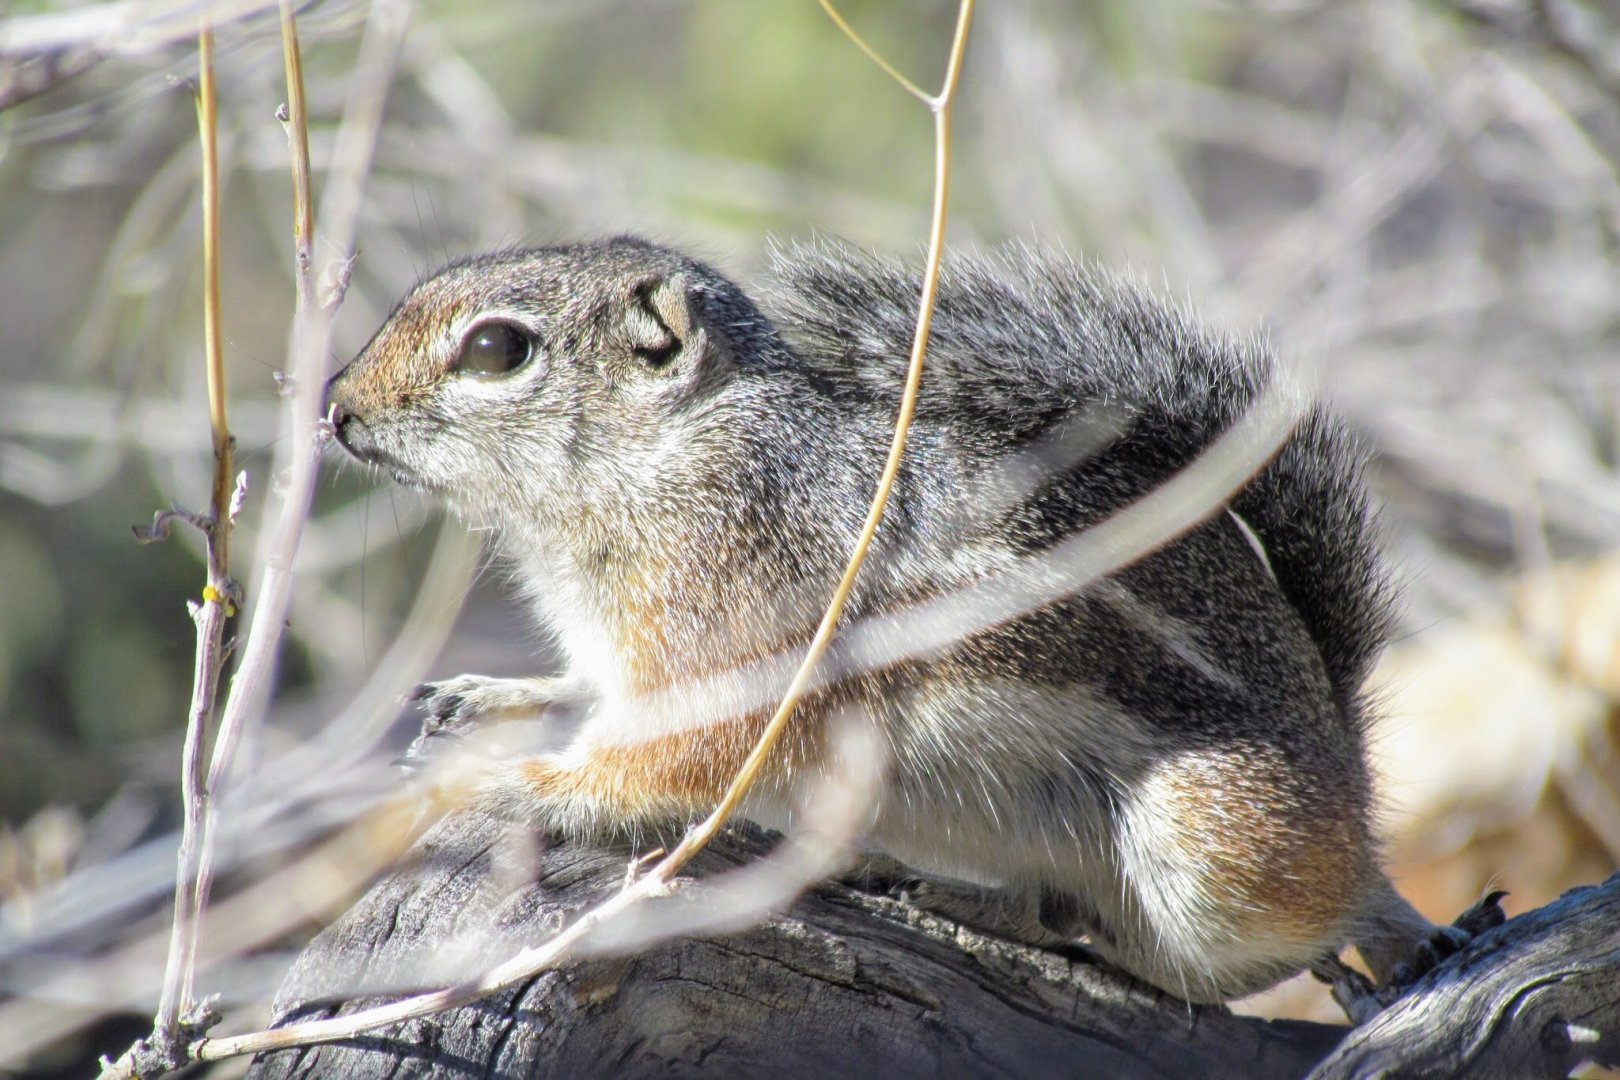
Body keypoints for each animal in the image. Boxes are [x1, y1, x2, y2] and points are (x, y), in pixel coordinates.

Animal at [324, 234, 1488, 1005]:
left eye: (496, 349)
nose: (335, 407)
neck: (659, 462)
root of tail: (1346, 763)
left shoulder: (738, 636)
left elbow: (674, 758)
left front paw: (520, 783)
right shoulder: (619, 650)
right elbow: (586, 694)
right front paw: (486, 700)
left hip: (1216, 834)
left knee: (1253, 951)